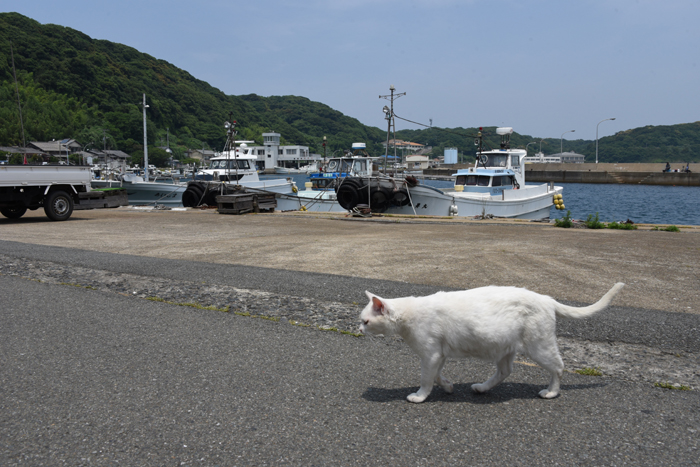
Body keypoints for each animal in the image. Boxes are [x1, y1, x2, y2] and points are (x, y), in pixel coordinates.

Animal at [360, 284, 624, 404]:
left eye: (365, 321)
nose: (359, 329)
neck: (408, 315)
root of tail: (547, 299)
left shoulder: (431, 354)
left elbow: (426, 379)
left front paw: (420, 396)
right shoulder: (438, 355)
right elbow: (437, 376)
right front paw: (448, 387)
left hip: (539, 347)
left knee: (558, 367)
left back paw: (551, 392)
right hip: (504, 348)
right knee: (505, 371)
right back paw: (482, 388)